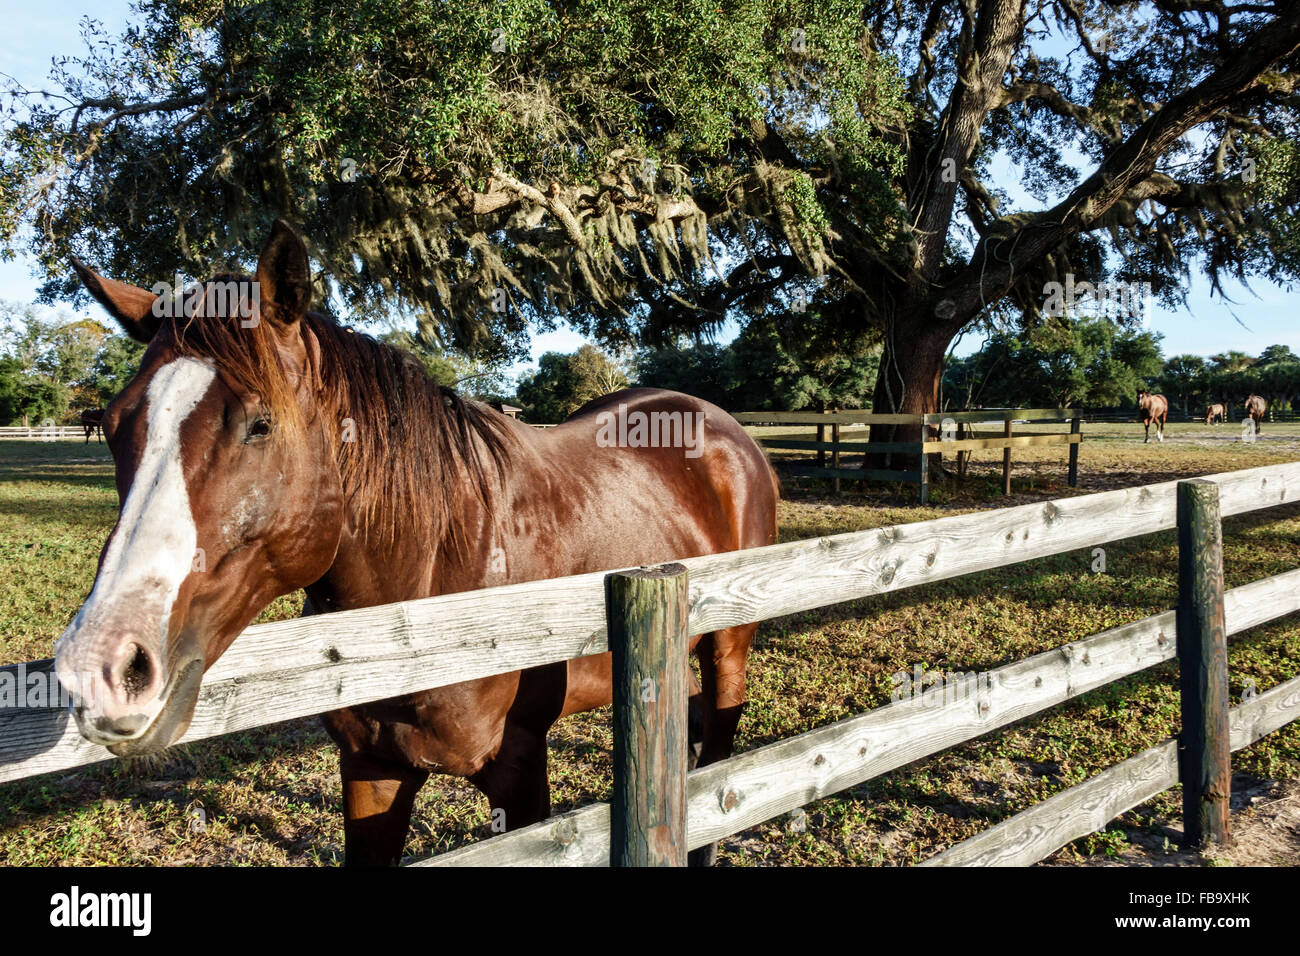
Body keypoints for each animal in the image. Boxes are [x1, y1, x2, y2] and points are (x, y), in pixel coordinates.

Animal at [55, 222, 774, 868]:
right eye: (113, 425)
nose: (104, 670)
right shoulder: (371, 767)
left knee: (719, 768)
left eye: (260, 424)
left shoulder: (520, 774)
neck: (428, 599)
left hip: (728, 648)